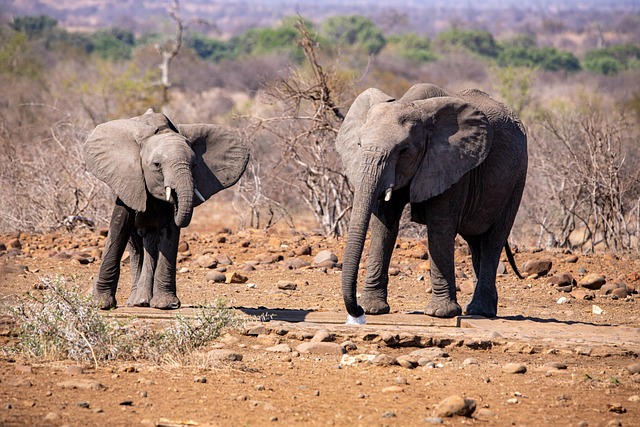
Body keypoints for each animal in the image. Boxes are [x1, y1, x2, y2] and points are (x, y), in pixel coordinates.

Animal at [83, 109, 248, 310]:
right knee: (136, 246)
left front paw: (166, 305)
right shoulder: (128, 179)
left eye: (194, 165)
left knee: (150, 242)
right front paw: (101, 304)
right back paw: (137, 302)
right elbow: (119, 227)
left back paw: (144, 301)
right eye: (156, 165)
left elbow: (168, 229)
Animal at [338, 83, 528, 322]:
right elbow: (384, 224)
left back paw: (480, 311)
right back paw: (480, 310)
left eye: (404, 150)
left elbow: (440, 226)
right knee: (476, 242)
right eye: (359, 144)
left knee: (494, 239)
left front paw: (441, 314)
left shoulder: (453, 163)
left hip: (517, 178)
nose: (357, 312)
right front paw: (373, 309)